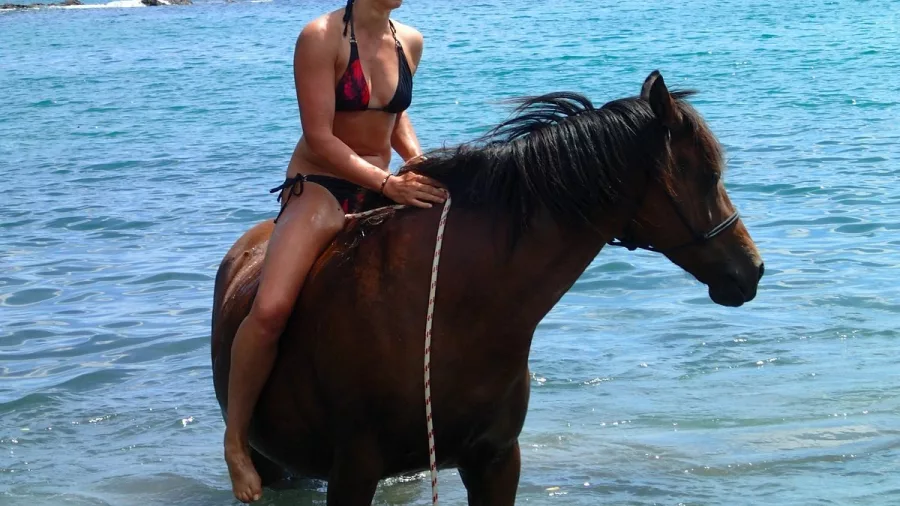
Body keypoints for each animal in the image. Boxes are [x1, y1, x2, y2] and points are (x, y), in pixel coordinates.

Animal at [210, 71, 764, 505]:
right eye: (709, 174)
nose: (753, 269)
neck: (450, 312)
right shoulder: (353, 470)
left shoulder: (495, 460)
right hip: (271, 460)